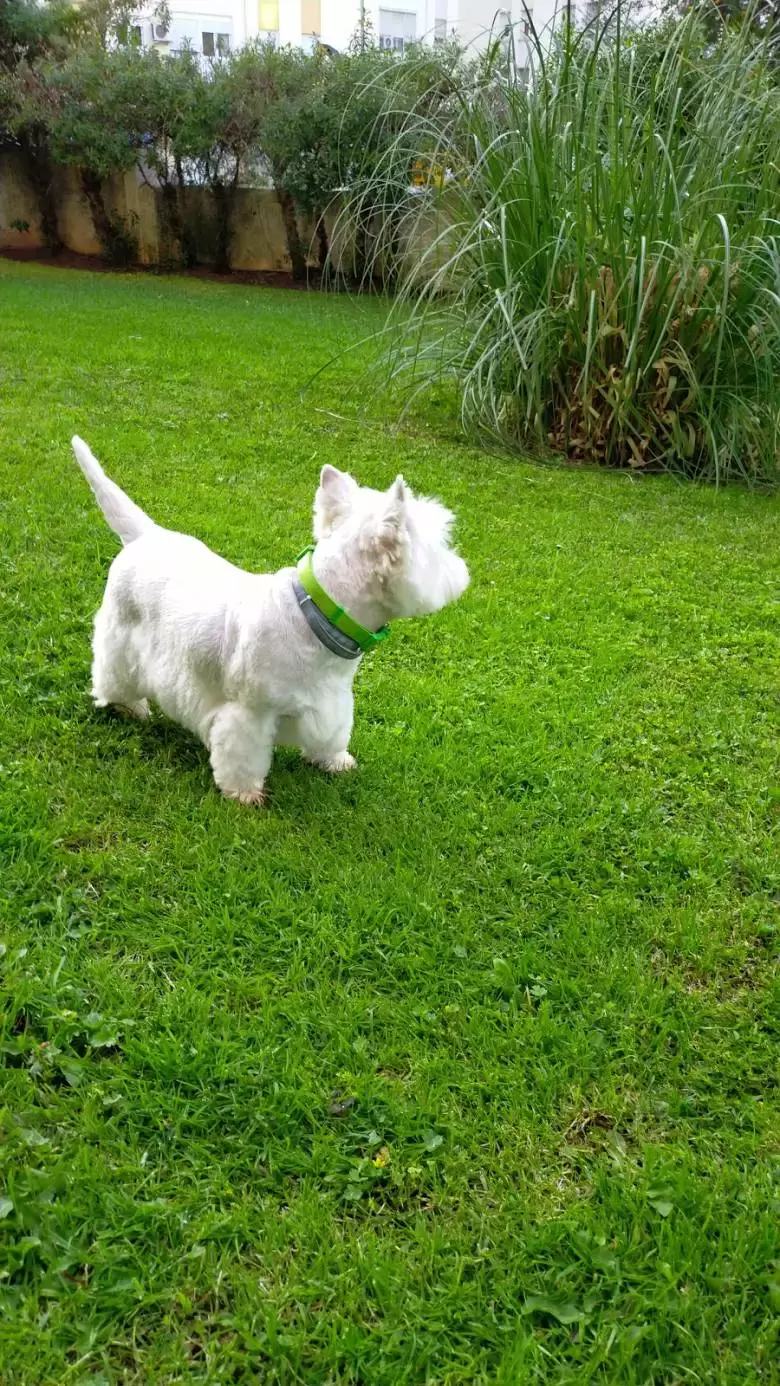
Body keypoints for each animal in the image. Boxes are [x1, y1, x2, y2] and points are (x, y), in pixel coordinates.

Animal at [71, 432, 471, 803]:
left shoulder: (331, 703)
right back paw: (130, 707)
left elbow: (334, 734)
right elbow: (243, 755)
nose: (463, 569)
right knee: (111, 676)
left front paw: (335, 761)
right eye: (440, 547)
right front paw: (245, 794)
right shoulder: (250, 713)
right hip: (120, 639)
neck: (319, 618)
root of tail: (145, 536)